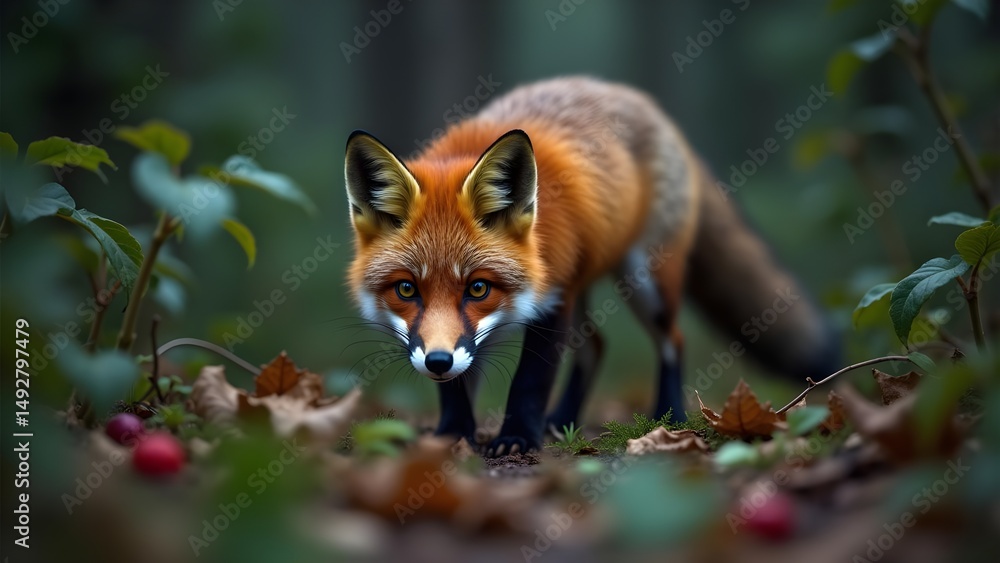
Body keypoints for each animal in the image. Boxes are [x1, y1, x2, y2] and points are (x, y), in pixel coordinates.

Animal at [343, 76, 838, 456]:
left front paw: (517, 438)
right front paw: (452, 435)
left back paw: (668, 416)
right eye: (407, 290)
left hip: (644, 280)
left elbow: (530, 380)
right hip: (585, 285)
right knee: (596, 346)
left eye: (478, 288)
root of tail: (643, 102)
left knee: (671, 339)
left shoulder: (549, 302)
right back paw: (562, 420)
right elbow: (457, 386)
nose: (439, 360)